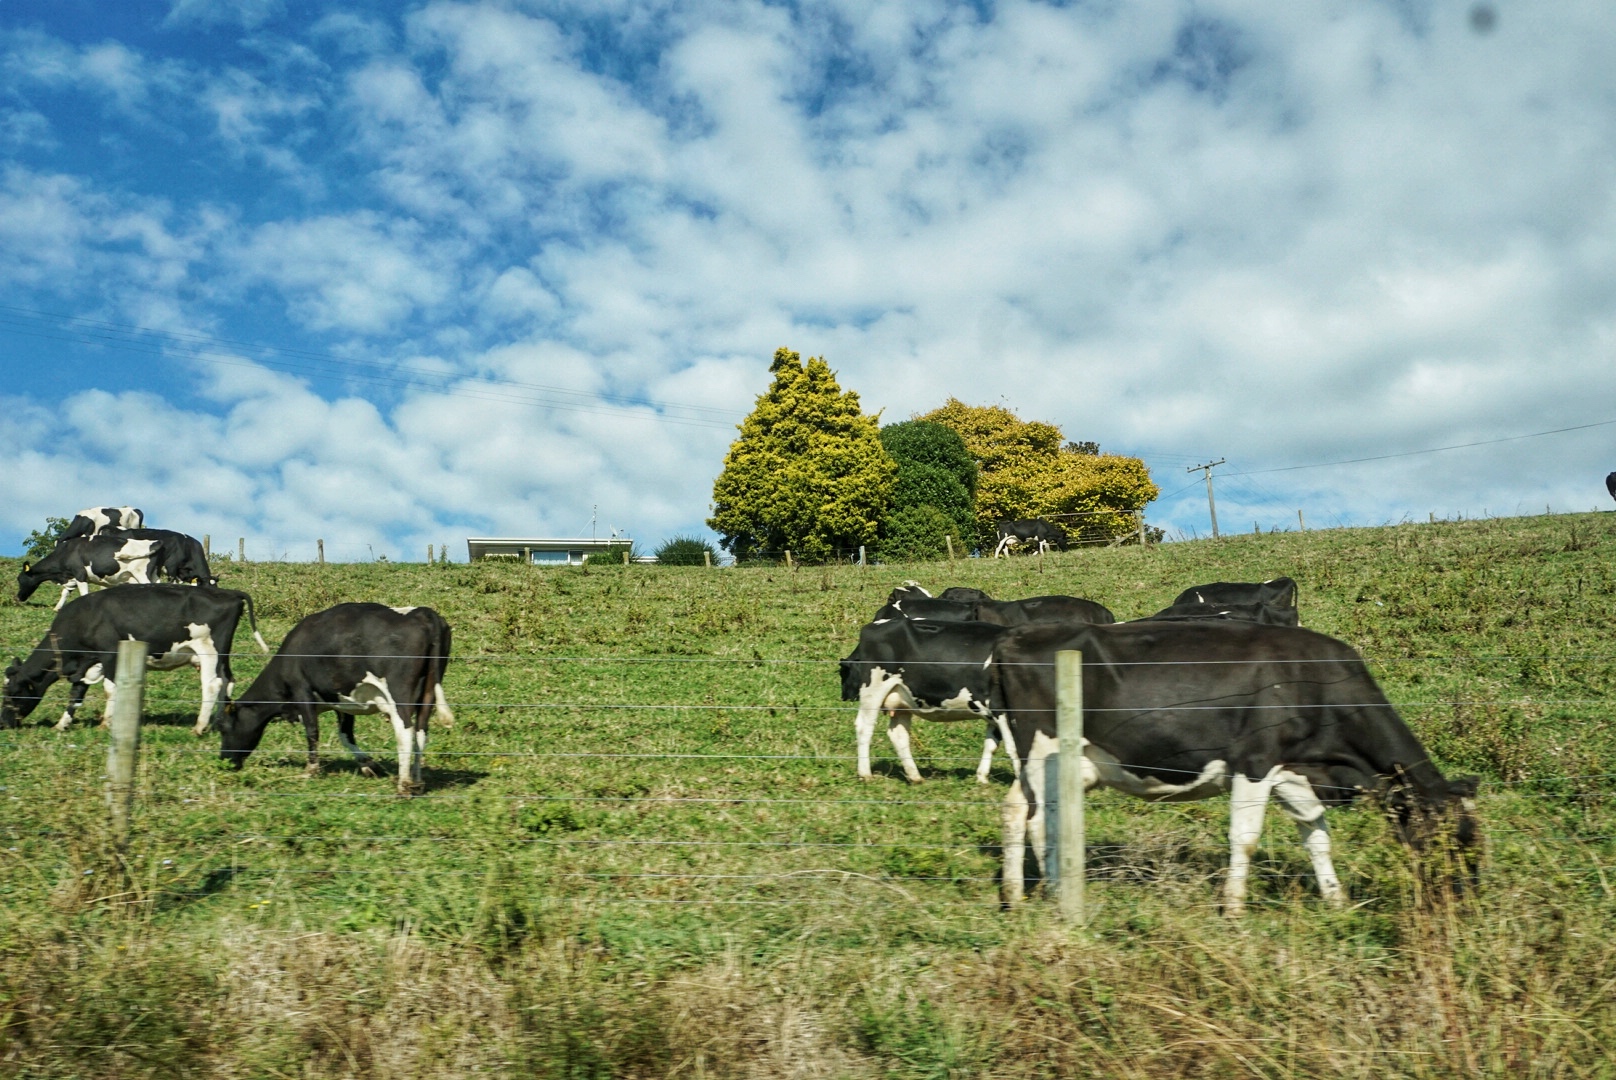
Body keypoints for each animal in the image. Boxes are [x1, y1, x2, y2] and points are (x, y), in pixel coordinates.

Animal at [0, 582, 265, 734]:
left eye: (12, 693)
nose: (4, 723)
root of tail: (228, 592)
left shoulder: (110, 654)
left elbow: (110, 688)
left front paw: (107, 723)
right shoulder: (88, 663)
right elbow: (76, 693)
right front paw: (62, 724)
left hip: (209, 649)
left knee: (212, 684)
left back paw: (199, 727)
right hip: (223, 655)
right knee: (228, 680)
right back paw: (219, 722)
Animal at [17, 536, 163, 611]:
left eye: (19, 579)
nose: (18, 597)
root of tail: (154, 542)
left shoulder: (80, 574)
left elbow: (83, 594)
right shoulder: (71, 577)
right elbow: (65, 592)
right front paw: (57, 608)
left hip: (141, 574)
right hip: (154, 575)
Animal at [214, 604, 455, 798]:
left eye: (223, 727)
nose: (224, 761)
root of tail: (422, 613)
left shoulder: (302, 691)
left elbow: (312, 731)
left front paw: (310, 770)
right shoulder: (341, 700)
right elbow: (345, 735)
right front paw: (368, 765)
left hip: (399, 694)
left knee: (405, 731)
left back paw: (404, 786)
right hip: (429, 693)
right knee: (421, 732)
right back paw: (417, 782)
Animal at [982, 620, 1480, 918]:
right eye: (1449, 843)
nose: (1465, 903)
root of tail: (1013, 636)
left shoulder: (1292, 772)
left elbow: (1317, 836)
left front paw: (1336, 900)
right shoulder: (1255, 763)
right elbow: (1246, 839)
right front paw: (1235, 909)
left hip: (1059, 762)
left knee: (1014, 809)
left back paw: (1015, 896)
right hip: (1045, 751)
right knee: (1040, 821)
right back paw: (1054, 895)